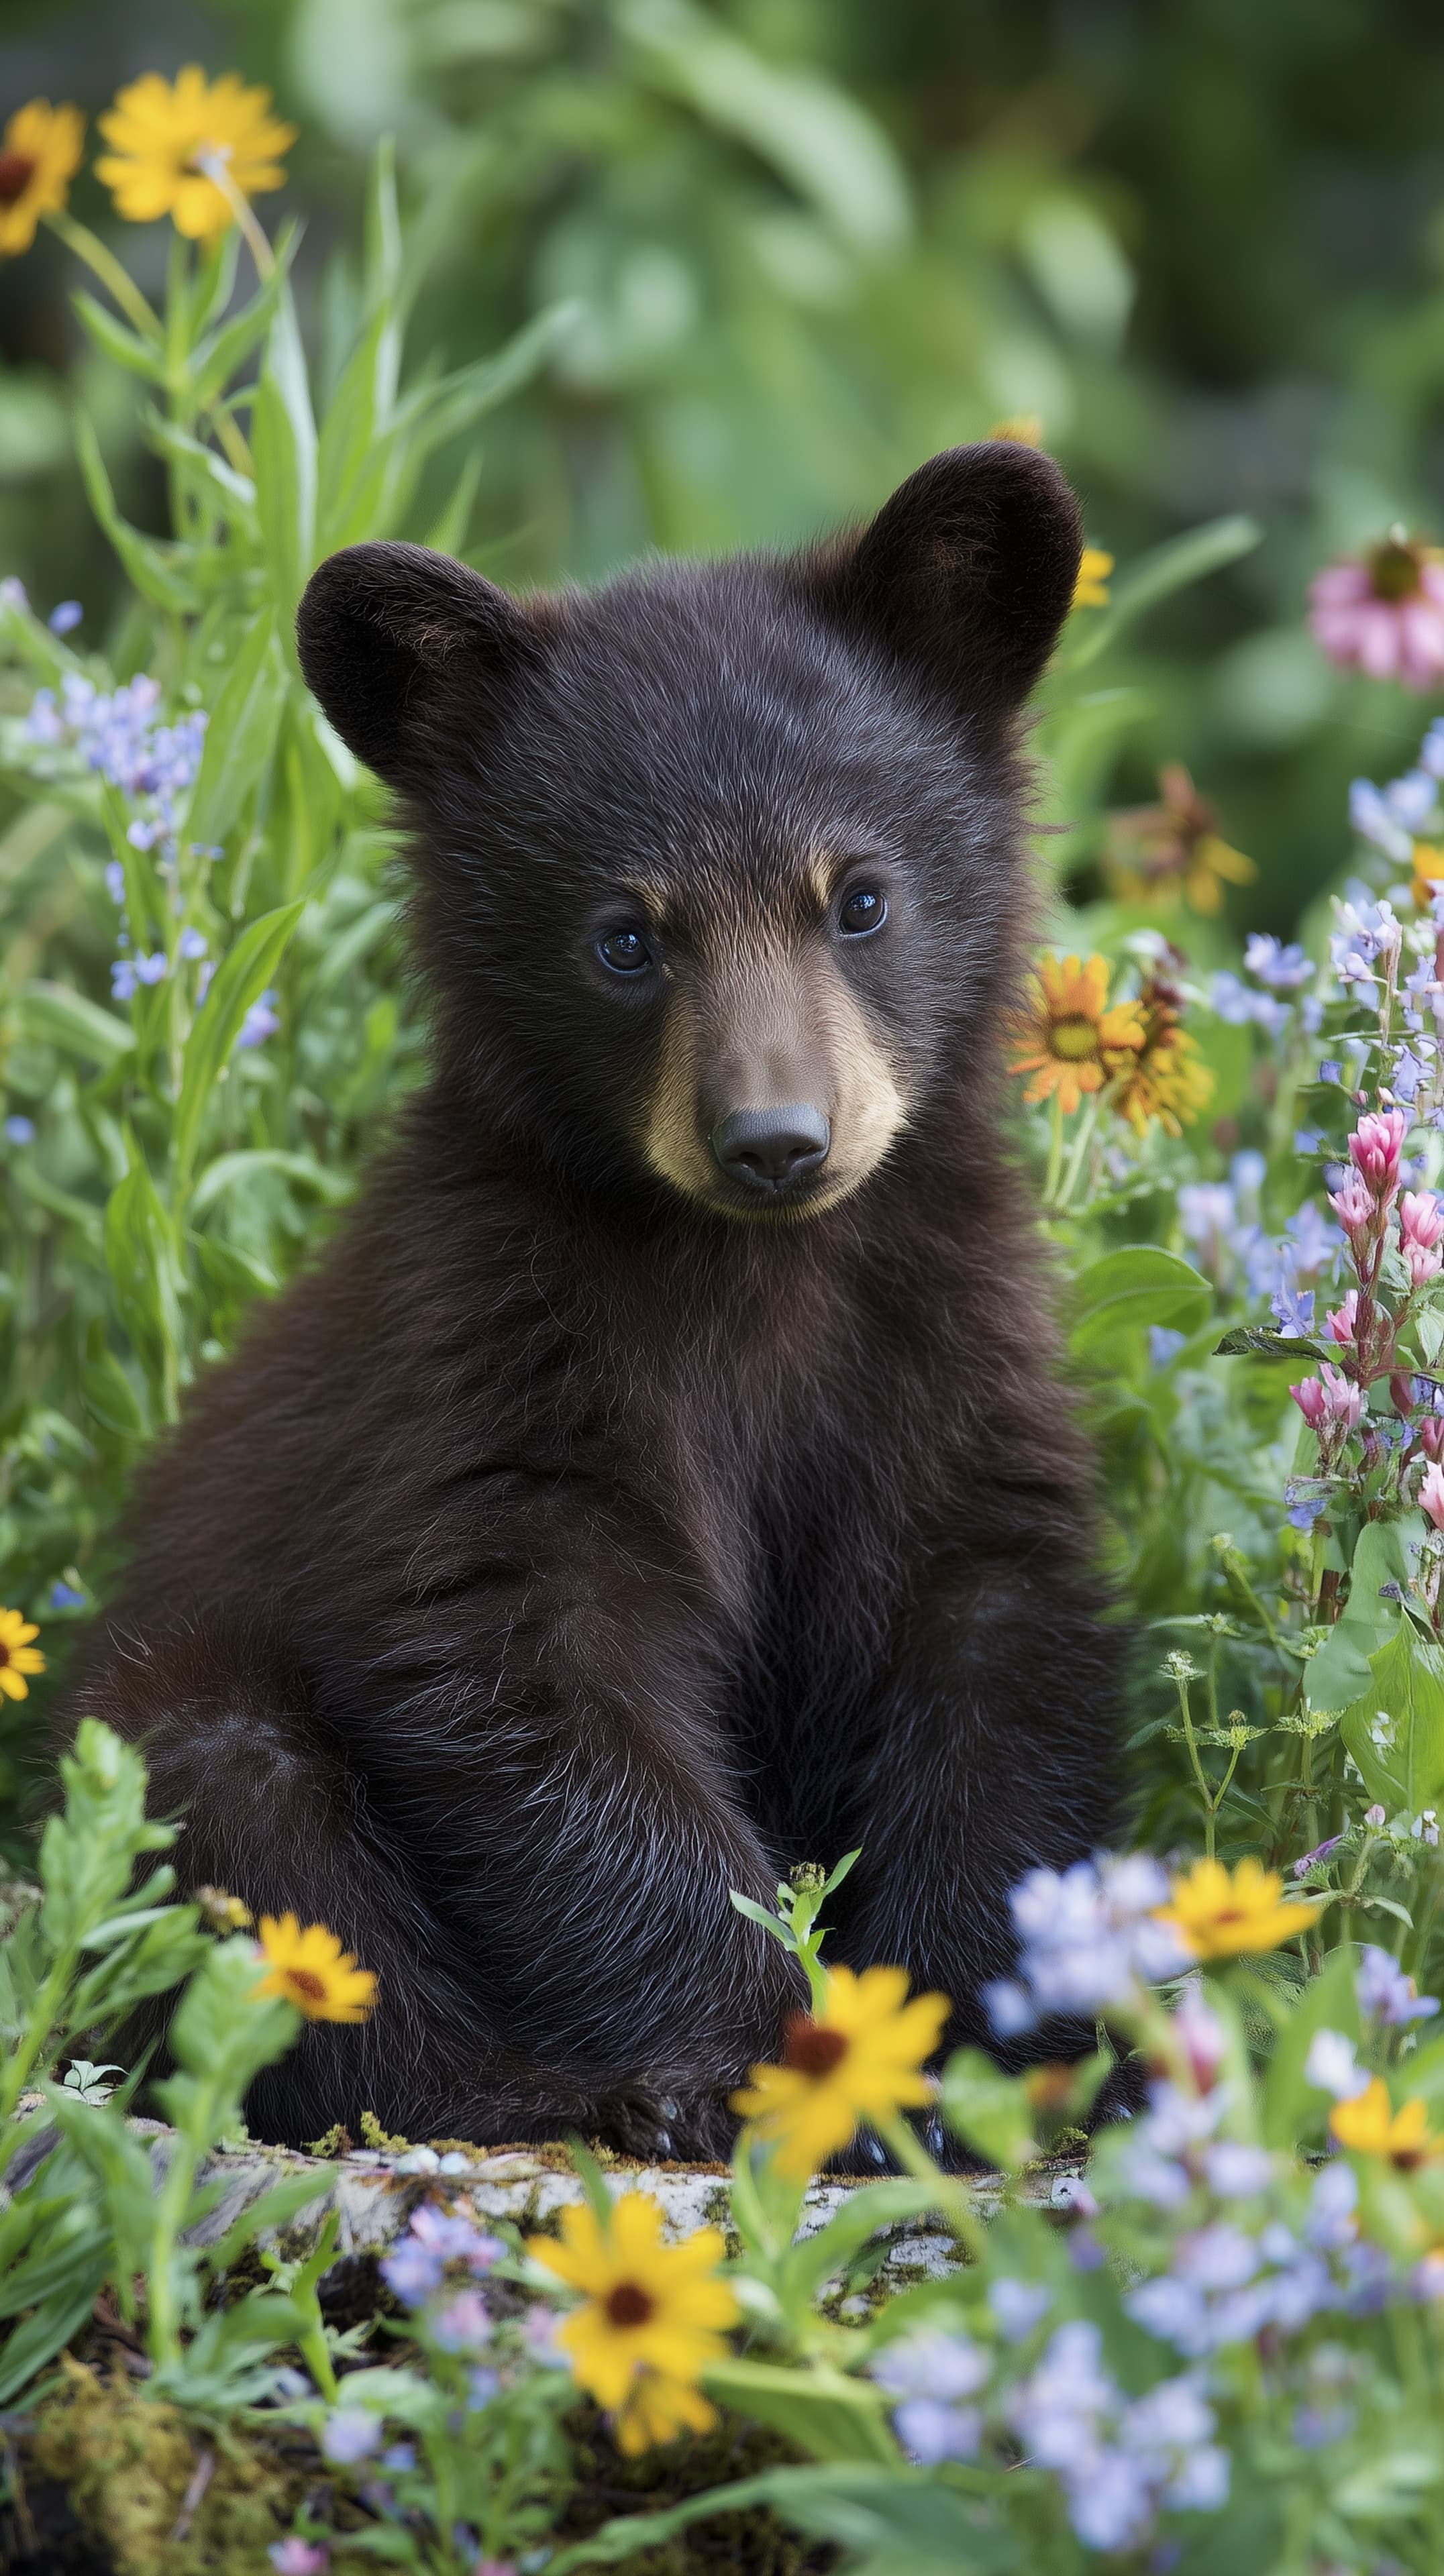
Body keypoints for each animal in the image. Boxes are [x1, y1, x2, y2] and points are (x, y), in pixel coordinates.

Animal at [68, 441, 1126, 2158]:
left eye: (859, 899)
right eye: (625, 937)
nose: (775, 1140)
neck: (754, 1272)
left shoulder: (941, 1347)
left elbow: (990, 1656)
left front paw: (1008, 2042)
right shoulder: (488, 1353)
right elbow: (527, 1676)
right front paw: (764, 2054)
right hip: (178, 1708)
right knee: (259, 1845)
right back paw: (518, 2086)